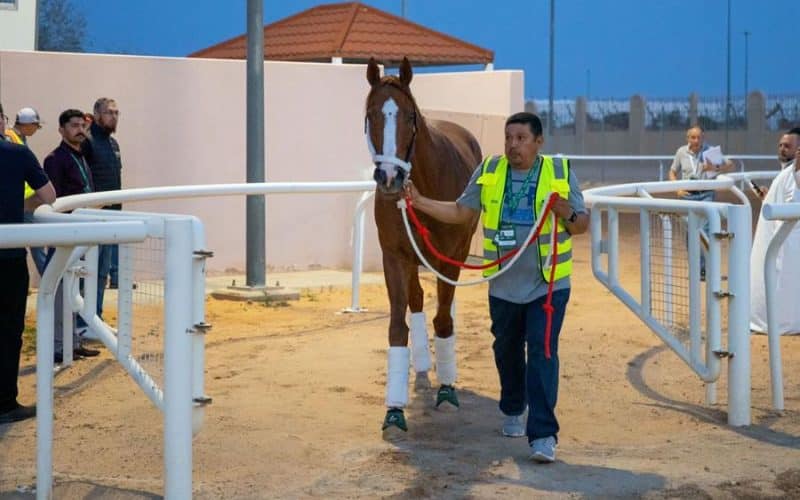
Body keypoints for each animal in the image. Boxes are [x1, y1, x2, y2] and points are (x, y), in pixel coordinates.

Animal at [364, 57, 482, 434]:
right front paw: (394, 410)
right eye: (371, 114)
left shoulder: (450, 259)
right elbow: (397, 328)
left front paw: (446, 392)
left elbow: (444, 321)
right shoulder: (394, 257)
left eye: (409, 116)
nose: (389, 177)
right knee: (415, 301)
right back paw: (418, 369)